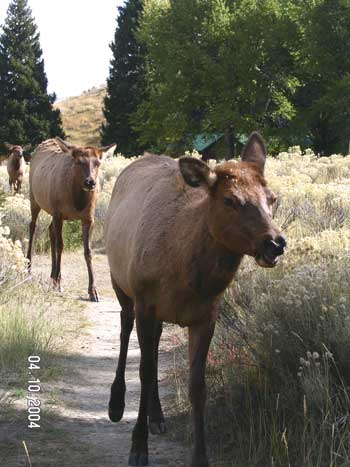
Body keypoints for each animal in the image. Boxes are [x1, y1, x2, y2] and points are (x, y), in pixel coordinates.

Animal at [27, 137, 117, 302]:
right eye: (79, 162)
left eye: (98, 163)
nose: (90, 182)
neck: (77, 202)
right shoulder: (58, 213)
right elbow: (61, 245)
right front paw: (59, 283)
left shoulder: (88, 218)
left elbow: (88, 251)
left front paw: (93, 291)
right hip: (34, 198)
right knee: (33, 226)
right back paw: (29, 269)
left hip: (51, 211)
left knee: (50, 230)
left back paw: (52, 276)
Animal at [104, 132, 288, 467]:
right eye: (229, 200)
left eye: (272, 198)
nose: (275, 243)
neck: (186, 278)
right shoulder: (145, 302)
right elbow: (144, 371)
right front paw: (138, 448)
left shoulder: (206, 315)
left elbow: (197, 386)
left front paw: (201, 456)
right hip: (121, 283)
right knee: (124, 330)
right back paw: (116, 403)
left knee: (153, 345)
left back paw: (157, 416)